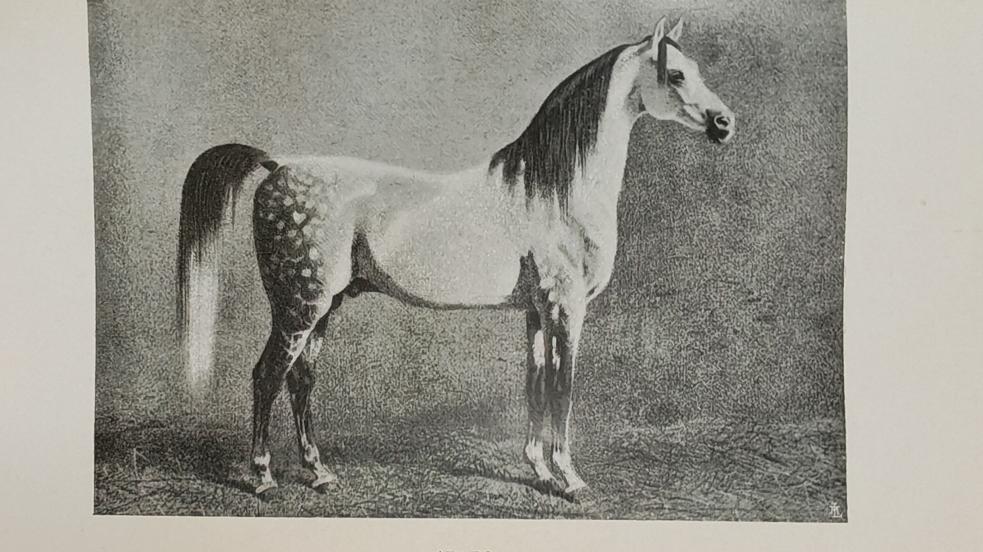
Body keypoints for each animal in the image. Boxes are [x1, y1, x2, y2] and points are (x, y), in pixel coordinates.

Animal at [176, 16, 735, 498]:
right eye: (677, 74)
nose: (725, 123)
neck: (553, 191)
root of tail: (278, 165)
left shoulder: (536, 311)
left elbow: (535, 385)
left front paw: (539, 470)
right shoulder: (566, 309)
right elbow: (562, 389)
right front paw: (570, 479)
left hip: (324, 305)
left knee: (301, 380)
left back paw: (320, 473)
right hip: (298, 305)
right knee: (267, 377)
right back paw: (263, 477)